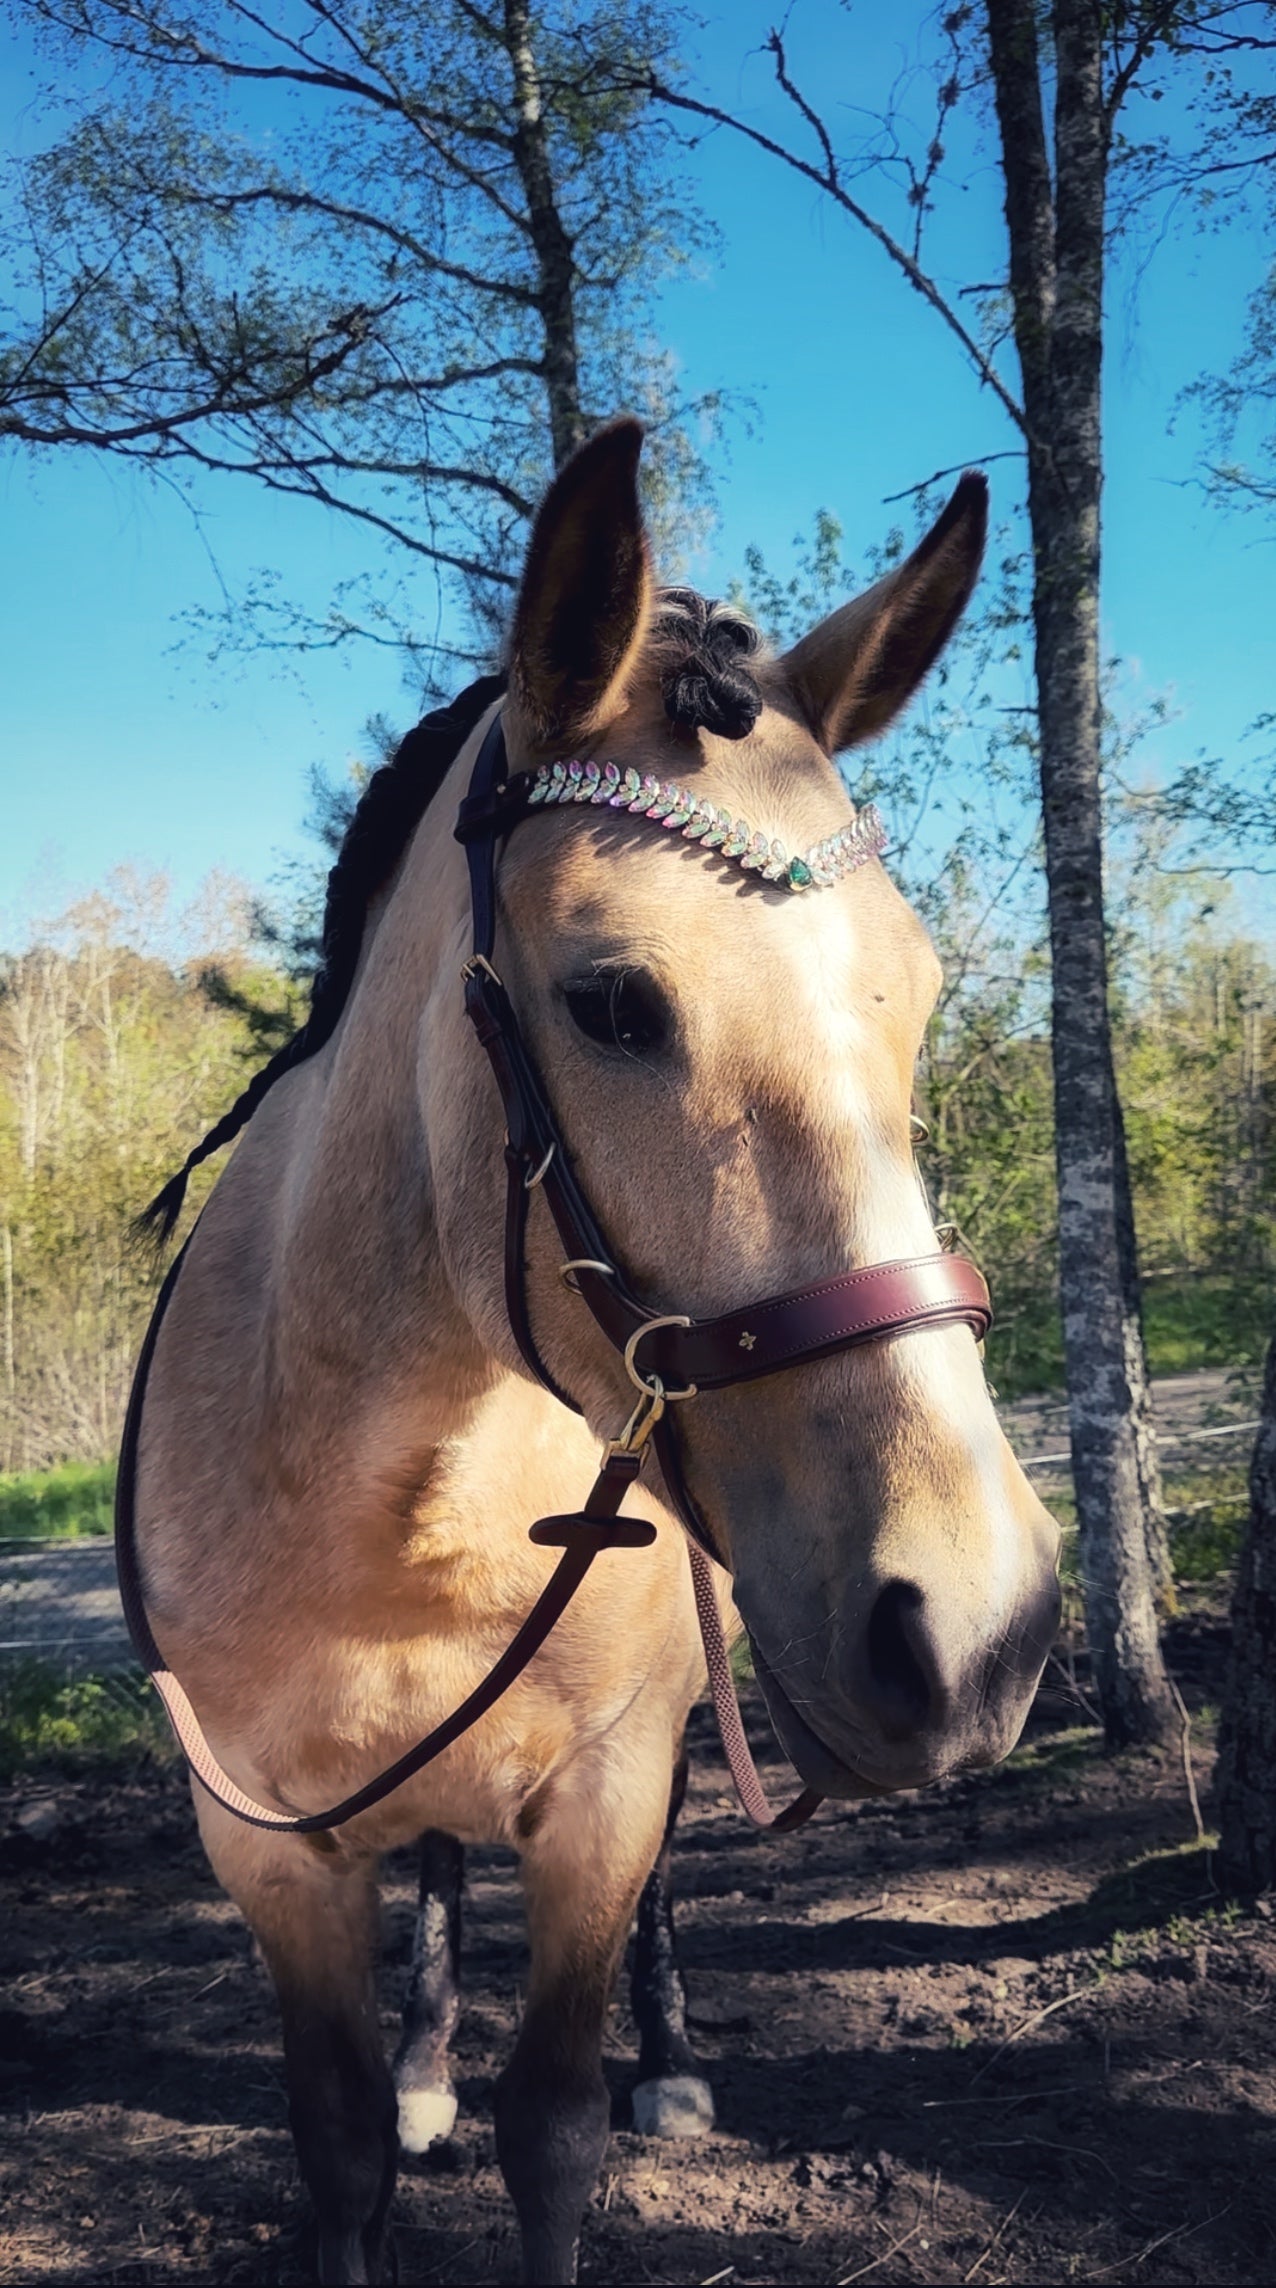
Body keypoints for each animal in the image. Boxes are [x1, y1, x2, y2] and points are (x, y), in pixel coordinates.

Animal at [123, 418, 1061, 2285]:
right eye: (613, 1002)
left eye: (920, 998)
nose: (977, 1628)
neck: (385, 1501)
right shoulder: (264, 1849)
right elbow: (340, 2145)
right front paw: (400, 2091)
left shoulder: (608, 1795)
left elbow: (551, 2128)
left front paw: (620, 2079)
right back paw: (429, 2055)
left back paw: (674, 2056)